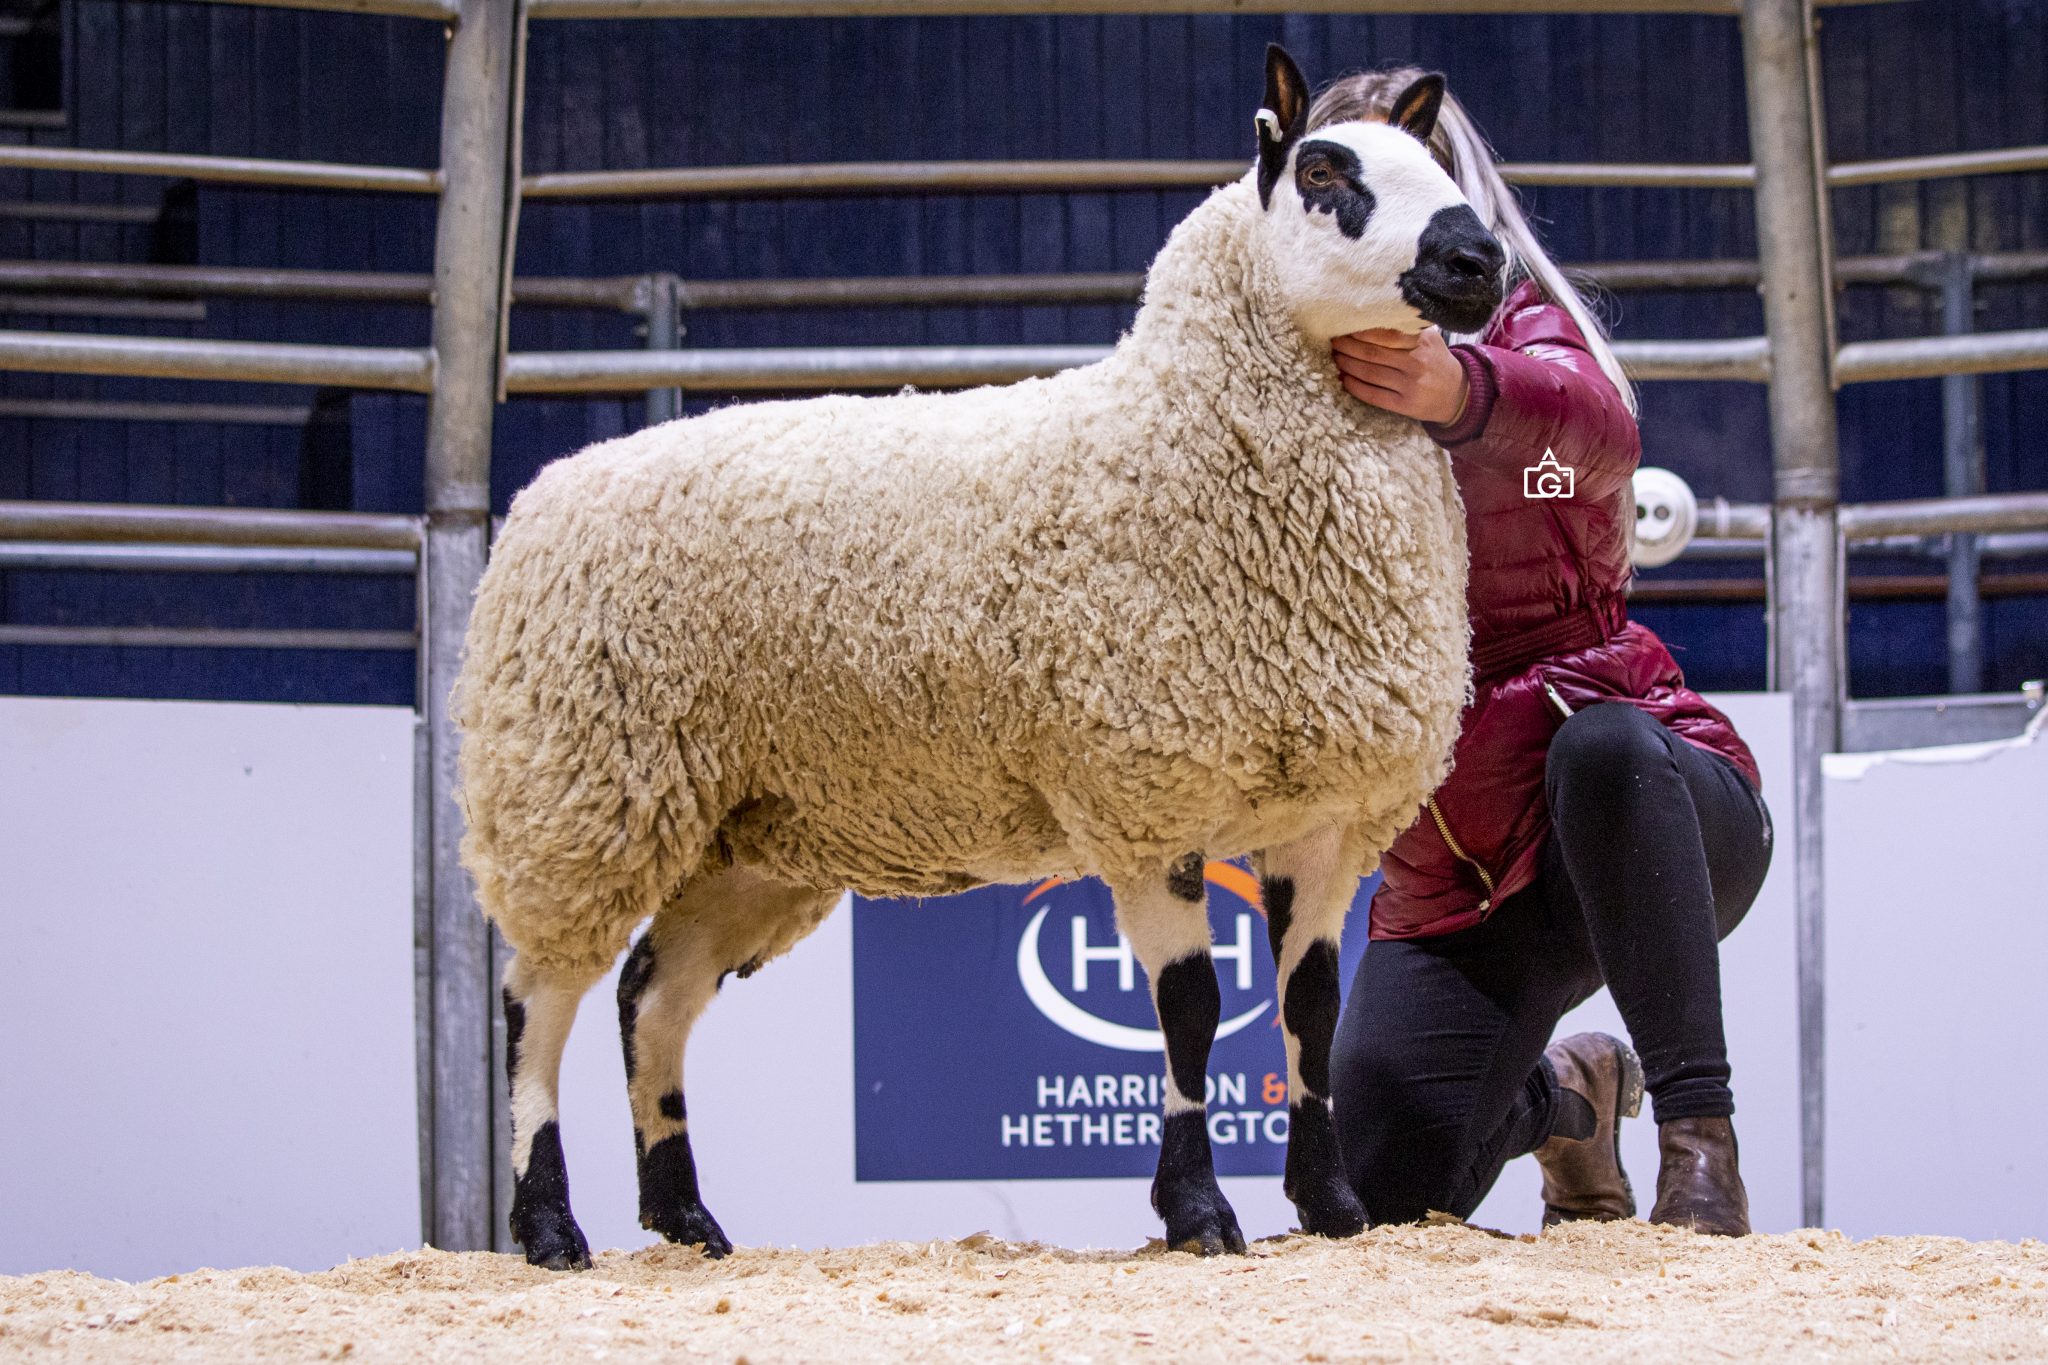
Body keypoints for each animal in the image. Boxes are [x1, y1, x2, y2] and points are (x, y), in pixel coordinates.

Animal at [456, 45, 1505, 1269]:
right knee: (539, 998)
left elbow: (1310, 1012)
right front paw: (1198, 1212)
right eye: (1326, 172)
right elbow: (1192, 1009)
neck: (1181, 432)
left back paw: (686, 1219)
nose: (1478, 261)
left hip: (743, 832)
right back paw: (548, 1224)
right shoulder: (1142, 794)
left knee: (648, 998)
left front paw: (1331, 1207)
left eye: (1435, 167)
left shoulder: (1324, 819)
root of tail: (546, 486)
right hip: (577, 788)